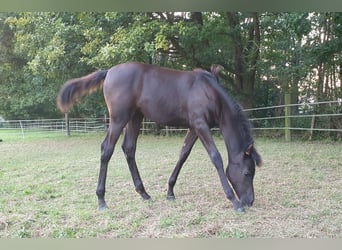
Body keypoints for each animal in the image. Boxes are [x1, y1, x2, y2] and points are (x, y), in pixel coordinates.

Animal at [58, 61, 262, 212]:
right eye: (247, 172)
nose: (250, 201)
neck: (209, 92)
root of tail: (109, 72)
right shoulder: (200, 125)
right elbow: (216, 157)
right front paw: (234, 201)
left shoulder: (194, 128)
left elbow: (183, 155)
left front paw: (170, 191)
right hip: (118, 118)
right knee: (106, 149)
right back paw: (101, 200)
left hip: (135, 117)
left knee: (129, 148)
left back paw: (143, 193)